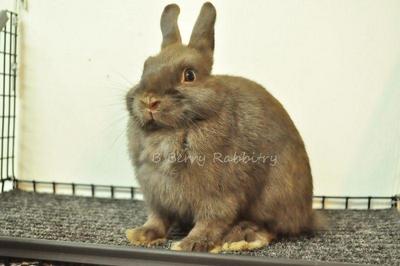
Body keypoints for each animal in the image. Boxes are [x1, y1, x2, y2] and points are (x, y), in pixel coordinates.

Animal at [125, 1, 322, 251]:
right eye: (146, 66)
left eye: (189, 75)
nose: (149, 100)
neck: (170, 130)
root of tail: (307, 213)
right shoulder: (155, 195)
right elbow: (158, 218)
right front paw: (141, 235)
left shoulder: (218, 194)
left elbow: (211, 221)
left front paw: (189, 244)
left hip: (274, 197)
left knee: (273, 228)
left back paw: (241, 237)